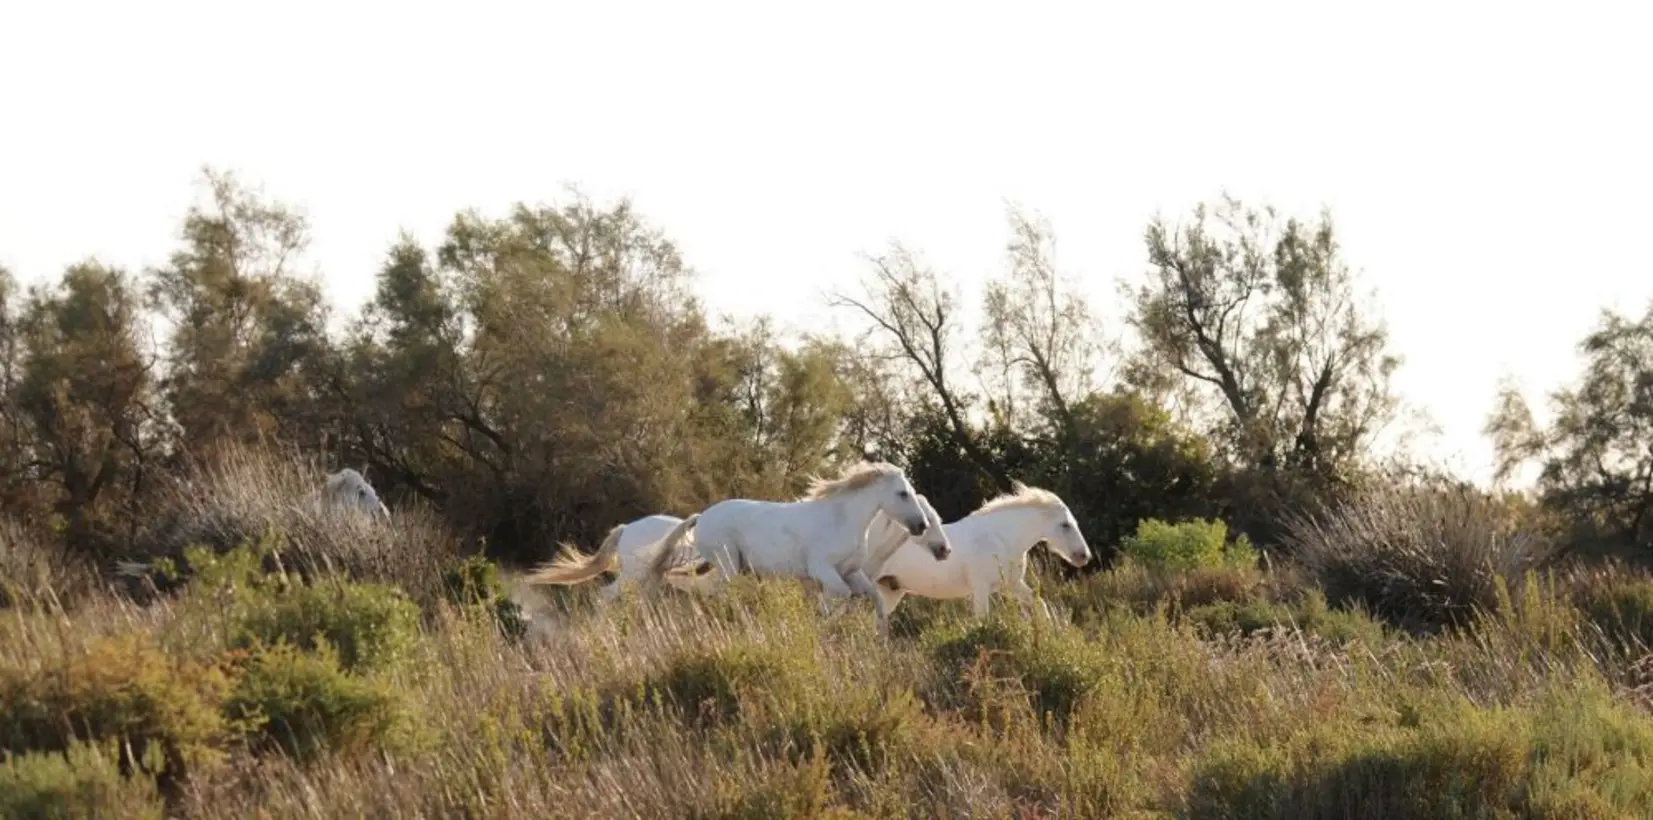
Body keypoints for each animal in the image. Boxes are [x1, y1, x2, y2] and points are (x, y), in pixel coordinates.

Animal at [645, 461, 931, 628]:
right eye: (902, 493)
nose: (923, 525)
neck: (842, 520)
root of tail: (702, 517)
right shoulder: (822, 570)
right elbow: (839, 596)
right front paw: (823, 622)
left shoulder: (851, 571)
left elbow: (874, 598)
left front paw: (879, 634)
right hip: (728, 563)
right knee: (722, 594)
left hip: (734, 567)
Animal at [865, 482, 1091, 619]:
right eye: (1065, 525)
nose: (1084, 556)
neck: (1001, 538)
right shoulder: (981, 588)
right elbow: (983, 620)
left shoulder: (1012, 584)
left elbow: (1040, 605)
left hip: (890, 592)